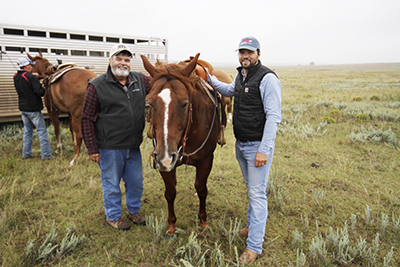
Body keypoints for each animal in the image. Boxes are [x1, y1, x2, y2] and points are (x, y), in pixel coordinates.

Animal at [141, 53, 223, 236]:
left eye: (185, 104)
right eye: (149, 103)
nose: (165, 157)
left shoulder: (207, 160)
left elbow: (201, 189)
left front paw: (203, 222)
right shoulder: (163, 164)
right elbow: (170, 192)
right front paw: (171, 225)